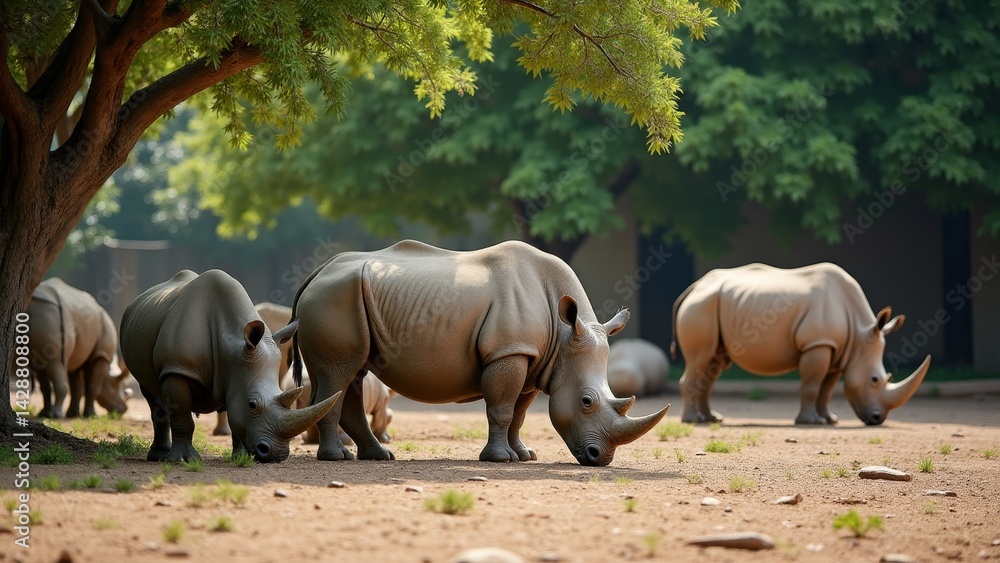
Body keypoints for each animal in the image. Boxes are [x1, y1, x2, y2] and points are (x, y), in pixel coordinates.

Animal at [26, 278, 130, 418]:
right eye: (116, 386)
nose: (123, 410)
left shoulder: (78, 352)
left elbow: (76, 386)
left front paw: (73, 414)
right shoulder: (101, 356)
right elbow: (92, 385)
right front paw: (90, 415)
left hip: (47, 314)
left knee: (42, 367)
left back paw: (45, 413)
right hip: (52, 315)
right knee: (55, 362)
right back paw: (55, 414)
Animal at [119, 270, 338, 463]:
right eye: (252, 405)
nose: (278, 455)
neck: (232, 344)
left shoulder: (234, 372)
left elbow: (236, 418)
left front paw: (240, 457)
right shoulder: (178, 368)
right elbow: (183, 418)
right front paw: (183, 460)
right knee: (151, 394)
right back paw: (158, 457)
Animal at [290, 240, 670, 466]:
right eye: (587, 401)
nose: (599, 457)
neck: (564, 335)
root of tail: (317, 273)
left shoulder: (531, 358)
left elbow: (518, 414)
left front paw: (525, 455)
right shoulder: (507, 352)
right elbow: (501, 409)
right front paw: (500, 459)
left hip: (343, 298)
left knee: (353, 375)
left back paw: (379, 456)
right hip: (335, 299)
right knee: (338, 376)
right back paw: (337, 458)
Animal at [670, 262, 931, 426]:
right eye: (875, 380)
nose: (877, 419)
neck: (859, 336)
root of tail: (695, 286)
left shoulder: (836, 351)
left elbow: (826, 391)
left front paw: (830, 420)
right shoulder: (817, 344)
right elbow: (811, 386)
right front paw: (811, 422)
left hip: (715, 305)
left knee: (713, 363)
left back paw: (712, 418)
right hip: (701, 307)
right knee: (700, 358)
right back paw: (693, 421)